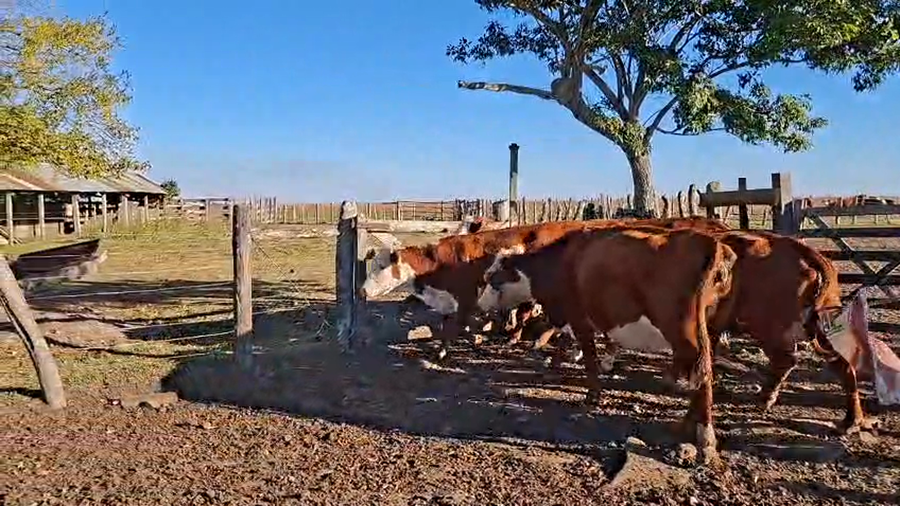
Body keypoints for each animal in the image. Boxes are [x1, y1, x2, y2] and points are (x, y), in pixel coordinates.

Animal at [477, 226, 737, 465]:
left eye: (492, 278)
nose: (480, 304)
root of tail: (711, 243)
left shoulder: (578, 317)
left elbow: (589, 357)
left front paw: (592, 395)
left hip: (682, 328)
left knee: (702, 372)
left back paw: (705, 439)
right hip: (708, 328)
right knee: (701, 370)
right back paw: (684, 425)